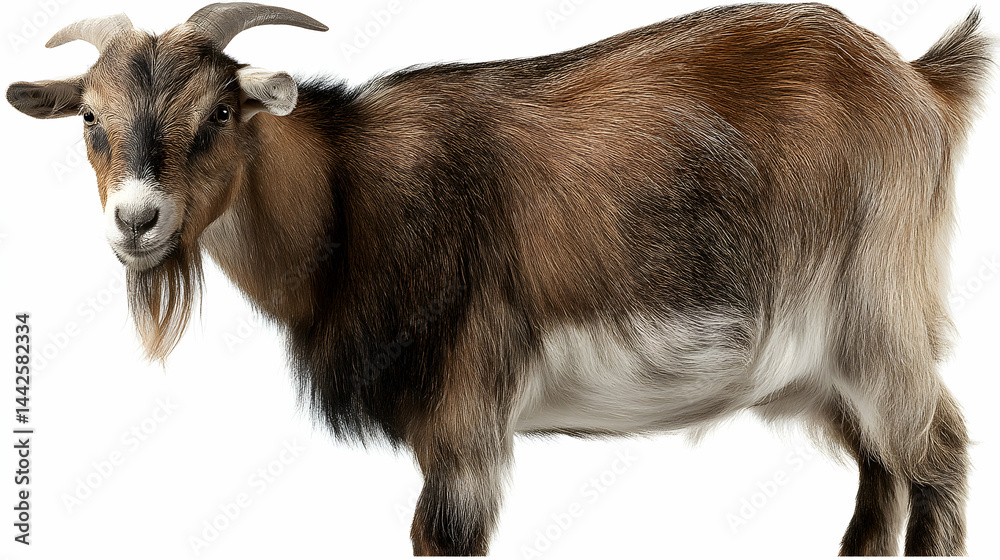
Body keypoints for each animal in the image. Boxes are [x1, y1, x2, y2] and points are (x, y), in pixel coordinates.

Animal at [6, 1, 992, 555]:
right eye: (89, 118)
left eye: (218, 111)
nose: (137, 221)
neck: (349, 193)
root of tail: (918, 83)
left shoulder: (466, 408)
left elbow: (443, 533)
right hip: (833, 368)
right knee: (881, 474)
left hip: (877, 323)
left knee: (937, 453)